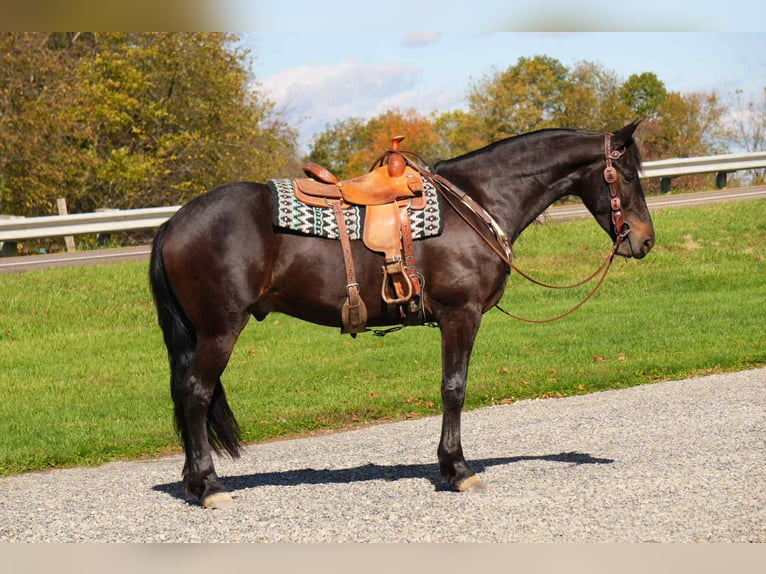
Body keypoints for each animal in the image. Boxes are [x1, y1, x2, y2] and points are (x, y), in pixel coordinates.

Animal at [149, 121, 655, 508]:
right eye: (629, 176)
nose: (645, 240)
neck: (477, 200)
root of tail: (173, 223)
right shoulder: (460, 315)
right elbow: (454, 389)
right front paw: (458, 469)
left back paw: (195, 481)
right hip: (219, 330)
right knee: (195, 394)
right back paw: (210, 487)